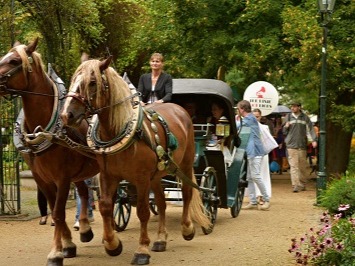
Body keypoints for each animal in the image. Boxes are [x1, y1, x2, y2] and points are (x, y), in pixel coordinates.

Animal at [0, 38, 100, 266]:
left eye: (14, 61)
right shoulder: (42, 178)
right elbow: (55, 209)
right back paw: (85, 229)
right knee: (83, 192)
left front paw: (55, 253)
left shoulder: (62, 178)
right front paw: (67, 245)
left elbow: (58, 212)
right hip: (79, 173)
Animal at [60, 56, 213, 264]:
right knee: (162, 203)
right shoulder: (109, 176)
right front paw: (112, 244)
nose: (66, 115)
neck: (117, 132)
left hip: (186, 164)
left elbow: (142, 211)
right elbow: (106, 207)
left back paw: (187, 228)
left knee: (187, 193)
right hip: (157, 175)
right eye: (73, 80)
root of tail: (180, 110)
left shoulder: (141, 179)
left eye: (92, 82)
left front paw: (142, 250)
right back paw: (161, 239)